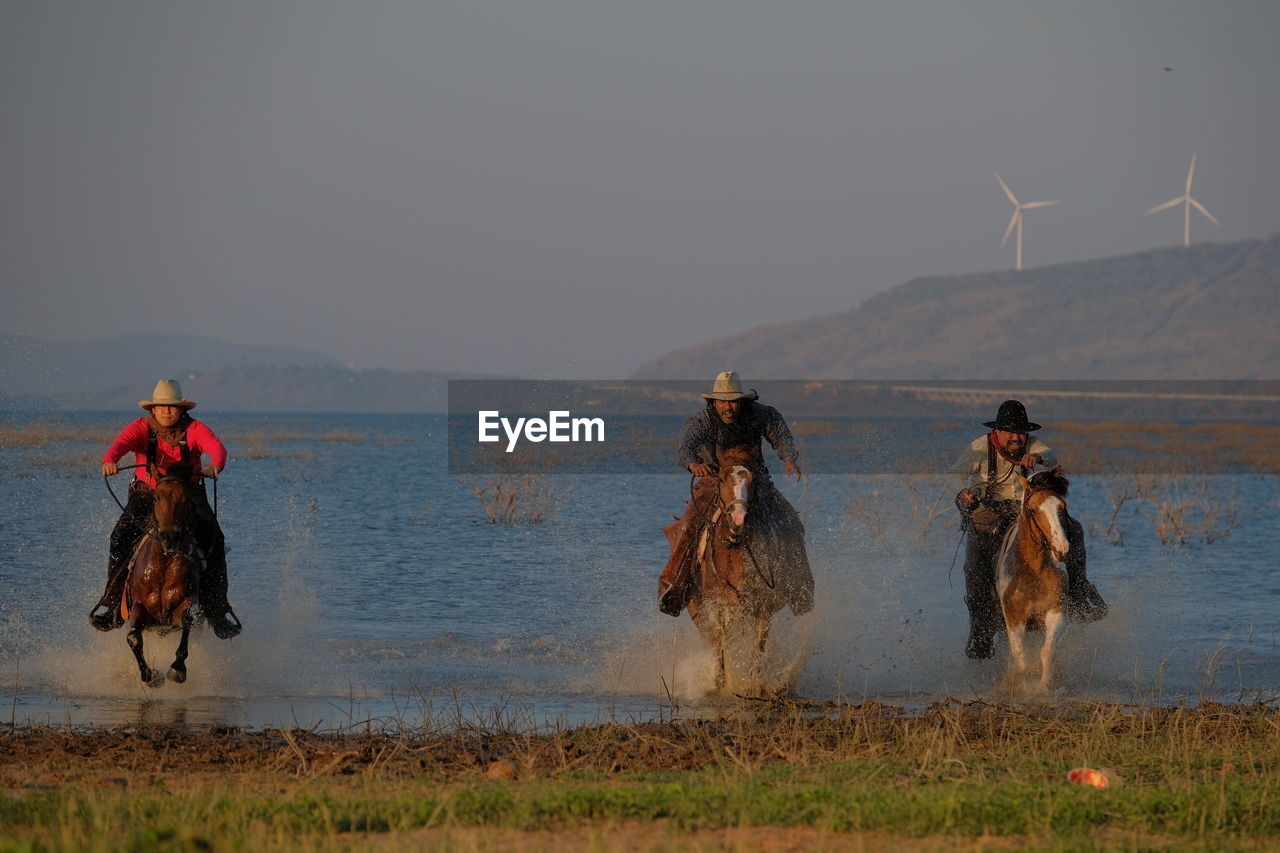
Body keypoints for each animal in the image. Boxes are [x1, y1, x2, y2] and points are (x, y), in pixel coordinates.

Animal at [120, 466, 203, 686]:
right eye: (156, 497)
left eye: (185, 498)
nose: (169, 536)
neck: (164, 563)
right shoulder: (139, 607)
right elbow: (133, 638)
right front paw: (150, 676)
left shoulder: (183, 605)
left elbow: (189, 618)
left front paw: (177, 669)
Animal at [686, 445, 793, 691]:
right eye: (721, 479)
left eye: (752, 481)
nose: (738, 518)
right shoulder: (716, 606)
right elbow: (719, 642)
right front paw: (719, 683)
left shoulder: (763, 608)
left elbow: (758, 647)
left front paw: (754, 685)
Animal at [993, 466, 1075, 691]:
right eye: (1032, 510)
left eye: (1062, 506)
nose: (1061, 548)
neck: (1033, 572)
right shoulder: (1014, 618)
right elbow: (1021, 657)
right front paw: (1024, 686)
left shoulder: (1056, 610)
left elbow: (1046, 651)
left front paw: (1043, 687)